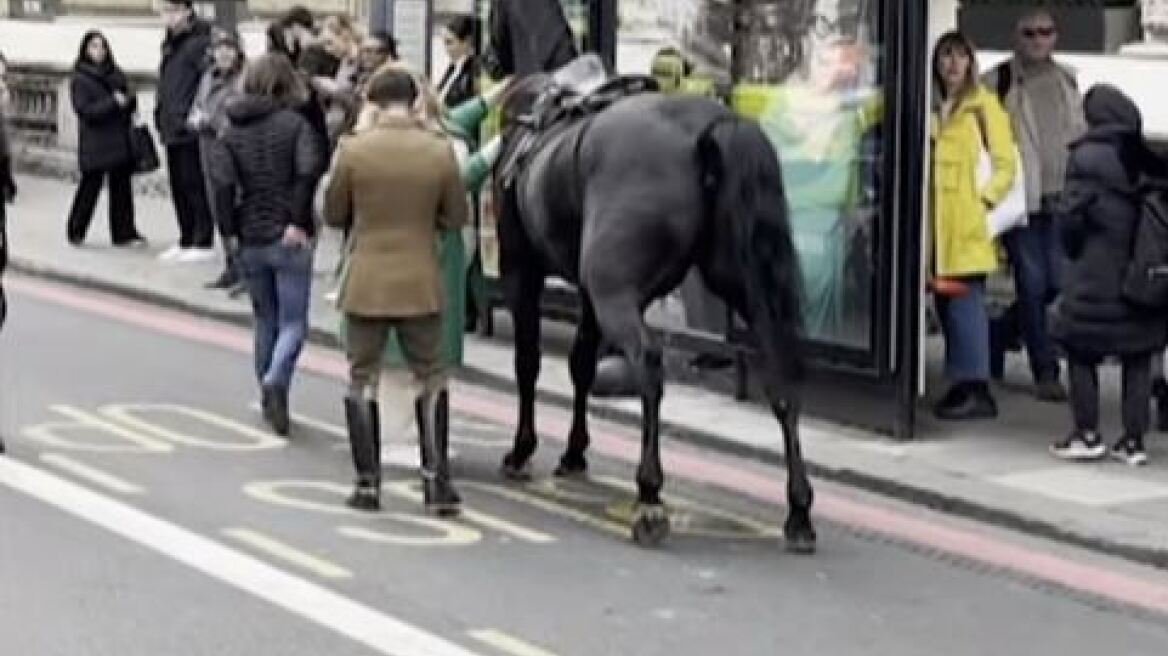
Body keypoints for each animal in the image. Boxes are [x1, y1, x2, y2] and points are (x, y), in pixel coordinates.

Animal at [488, 56, 817, 548]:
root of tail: (716, 125)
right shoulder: (587, 294)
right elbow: (581, 364)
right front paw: (574, 451)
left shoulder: (521, 269)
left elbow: (528, 363)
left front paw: (522, 449)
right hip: (749, 287)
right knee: (782, 377)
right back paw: (798, 510)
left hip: (614, 290)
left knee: (647, 361)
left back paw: (649, 494)